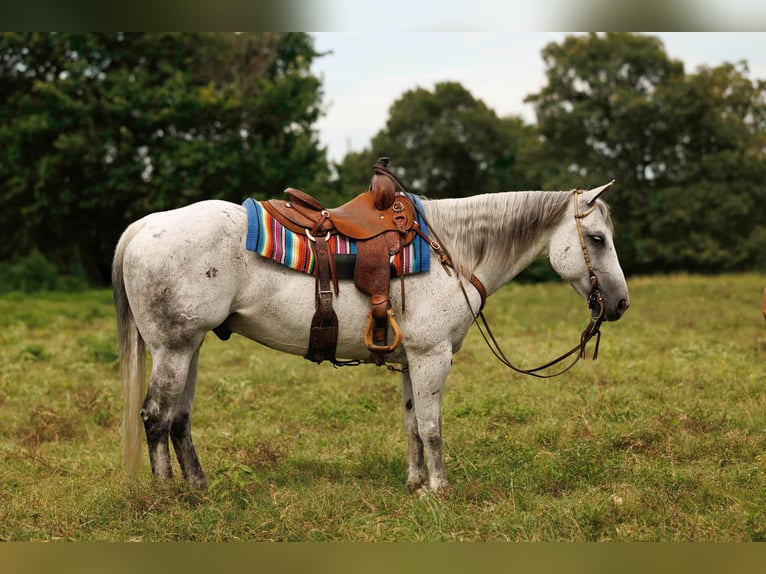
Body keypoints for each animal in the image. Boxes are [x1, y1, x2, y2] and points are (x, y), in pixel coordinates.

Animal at [113, 182, 630, 494]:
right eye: (598, 239)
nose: (621, 303)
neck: (452, 252)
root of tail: (145, 225)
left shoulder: (411, 359)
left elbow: (412, 424)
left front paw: (415, 484)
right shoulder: (432, 356)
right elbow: (431, 426)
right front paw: (440, 490)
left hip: (190, 348)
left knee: (179, 418)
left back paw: (199, 487)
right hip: (174, 349)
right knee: (155, 416)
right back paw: (168, 495)